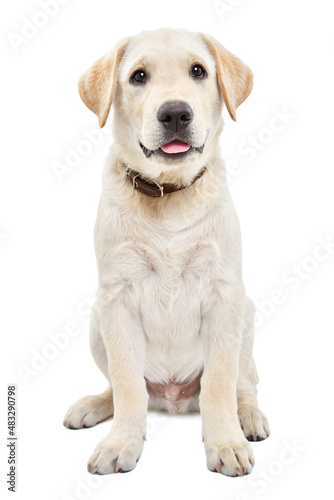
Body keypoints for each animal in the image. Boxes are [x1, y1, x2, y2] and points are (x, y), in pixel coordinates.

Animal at [64, 27, 270, 476]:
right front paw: (121, 442)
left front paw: (225, 442)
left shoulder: (224, 295)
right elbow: (127, 383)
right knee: (124, 388)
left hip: (246, 314)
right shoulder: (117, 299)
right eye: (138, 76)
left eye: (199, 71)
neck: (168, 195)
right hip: (96, 323)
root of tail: (174, 398)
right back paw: (94, 406)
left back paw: (247, 416)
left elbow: (218, 382)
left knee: (242, 384)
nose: (175, 113)